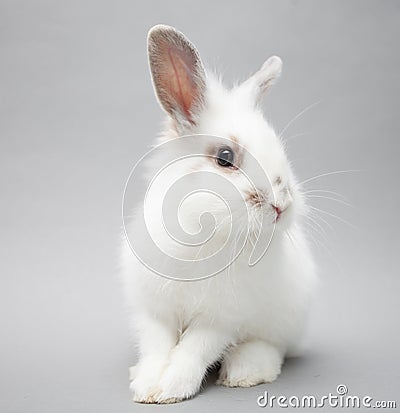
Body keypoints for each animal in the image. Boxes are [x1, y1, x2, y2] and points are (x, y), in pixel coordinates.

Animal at [120, 25, 318, 402]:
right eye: (225, 157)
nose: (281, 205)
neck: (206, 233)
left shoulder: (221, 317)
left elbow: (194, 349)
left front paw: (171, 388)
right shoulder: (155, 309)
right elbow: (157, 346)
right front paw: (148, 387)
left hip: (282, 321)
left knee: (272, 346)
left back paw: (246, 371)